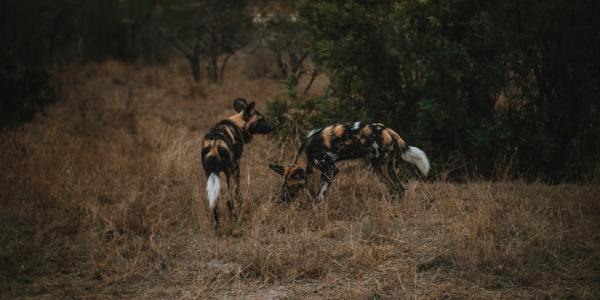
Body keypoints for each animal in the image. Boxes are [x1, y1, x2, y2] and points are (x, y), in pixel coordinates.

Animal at [203, 98, 276, 230]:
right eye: (261, 120)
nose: (272, 128)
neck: (237, 123)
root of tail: (215, 144)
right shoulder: (236, 167)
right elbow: (238, 193)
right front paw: (241, 204)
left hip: (210, 174)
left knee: (213, 203)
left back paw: (217, 229)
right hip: (229, 173)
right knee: (229, 200)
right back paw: (235, 223)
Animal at [270, 121, 428, 202]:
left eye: (291, 187)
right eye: (283, 187)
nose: (281, 201)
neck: (307, 151)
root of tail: (388, 130)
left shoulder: (331, 169)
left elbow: (320, 195)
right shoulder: (326, 172)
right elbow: (321, 190)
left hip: (379, 168)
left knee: (393, 189)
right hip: (388, 168)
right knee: (400, 189)